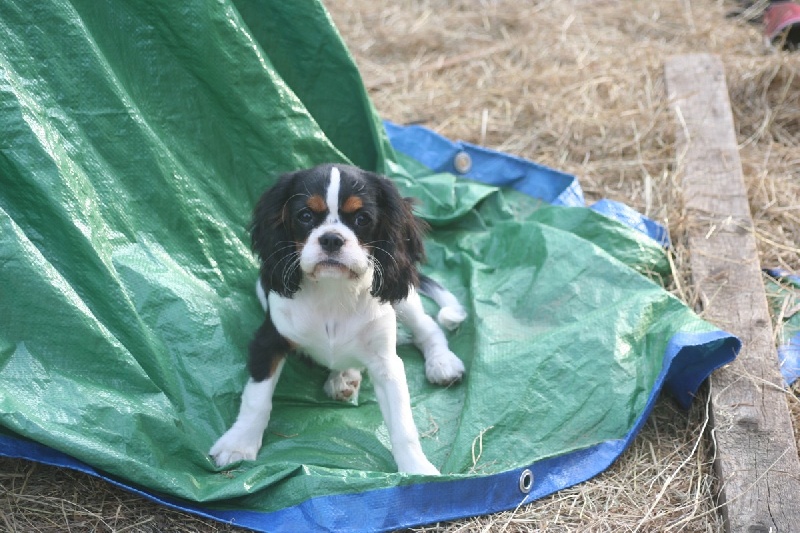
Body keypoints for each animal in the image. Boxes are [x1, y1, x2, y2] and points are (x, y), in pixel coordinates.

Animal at [209, 162, 466, 474]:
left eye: (362, 218)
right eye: (305, 216)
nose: (331, 238)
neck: (333, 290)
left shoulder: (386, 363)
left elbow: (403, 424)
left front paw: (417, 470)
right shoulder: (268, 341)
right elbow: (256, 398)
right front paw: (238, 444)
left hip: (402, 298)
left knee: (428, 328)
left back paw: (442, 362)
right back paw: (344, 376)